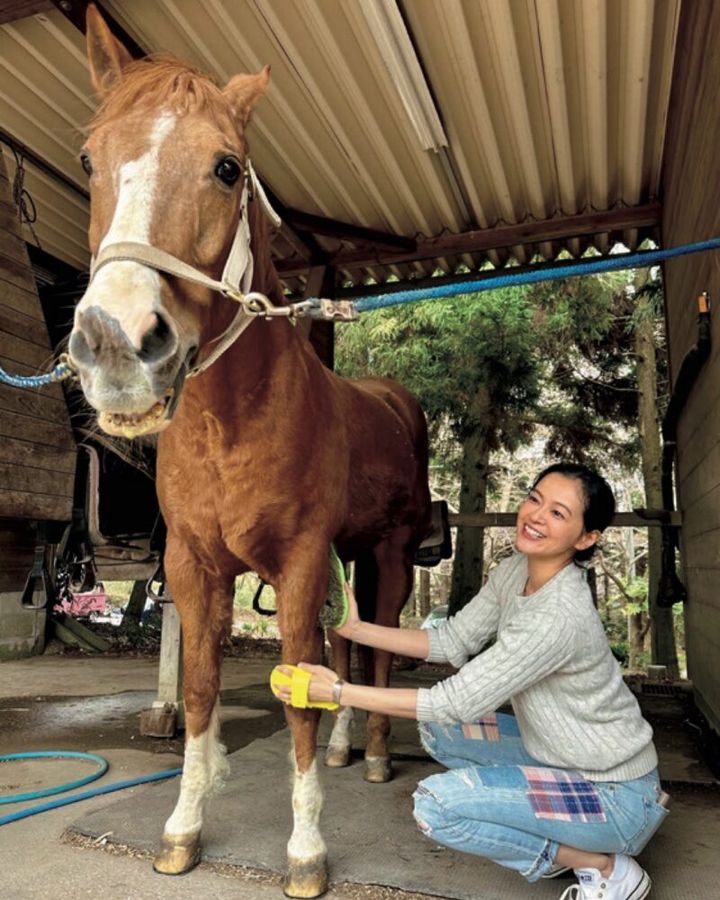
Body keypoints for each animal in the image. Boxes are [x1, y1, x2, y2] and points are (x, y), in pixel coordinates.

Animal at [68, 7, 432, 897]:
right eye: (90, 158)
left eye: (227, 168)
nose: (115, 346)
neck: (231, 425)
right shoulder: (195, 564)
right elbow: (200, 689)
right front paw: (182, 829)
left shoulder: (298, 561)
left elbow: (299, 686)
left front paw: (305, 852)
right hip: (352, 552)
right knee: (354, 643)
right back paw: (345, 750)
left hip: (389, 553)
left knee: (376, 649)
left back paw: (374, 758)